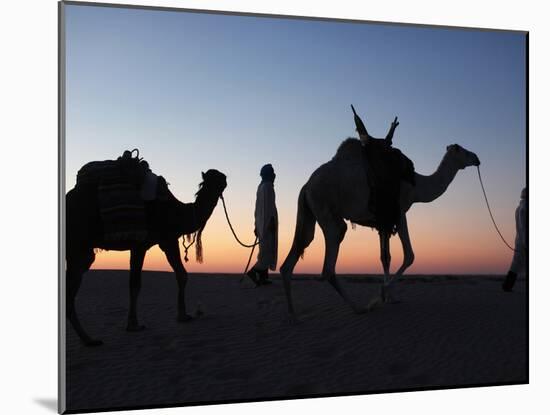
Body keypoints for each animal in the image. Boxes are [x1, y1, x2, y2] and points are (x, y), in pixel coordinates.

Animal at [66, 171, 226, 346]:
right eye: (212, 180)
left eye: (219, 178)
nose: (224, 179)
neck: (177, 212)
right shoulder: (146, 243)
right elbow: (136, 284)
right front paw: (134, 325)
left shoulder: (165, 240)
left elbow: (181, 274)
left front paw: (182, 315)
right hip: (76, 245)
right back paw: (89, 339)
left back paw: (88, 339)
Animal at [282, 138, 480, 320]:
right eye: (462, 150)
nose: (477, 158)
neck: (415, 185)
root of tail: (306, 186)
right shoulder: (399, 211)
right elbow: (409, 255)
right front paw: (383, 292)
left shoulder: (383, 222)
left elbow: (385, 257)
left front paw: (390, 297)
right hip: (326, 209)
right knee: (329, 261)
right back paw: (359, 308)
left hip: (310, 212)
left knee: (298, 248)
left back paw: (293, 314)